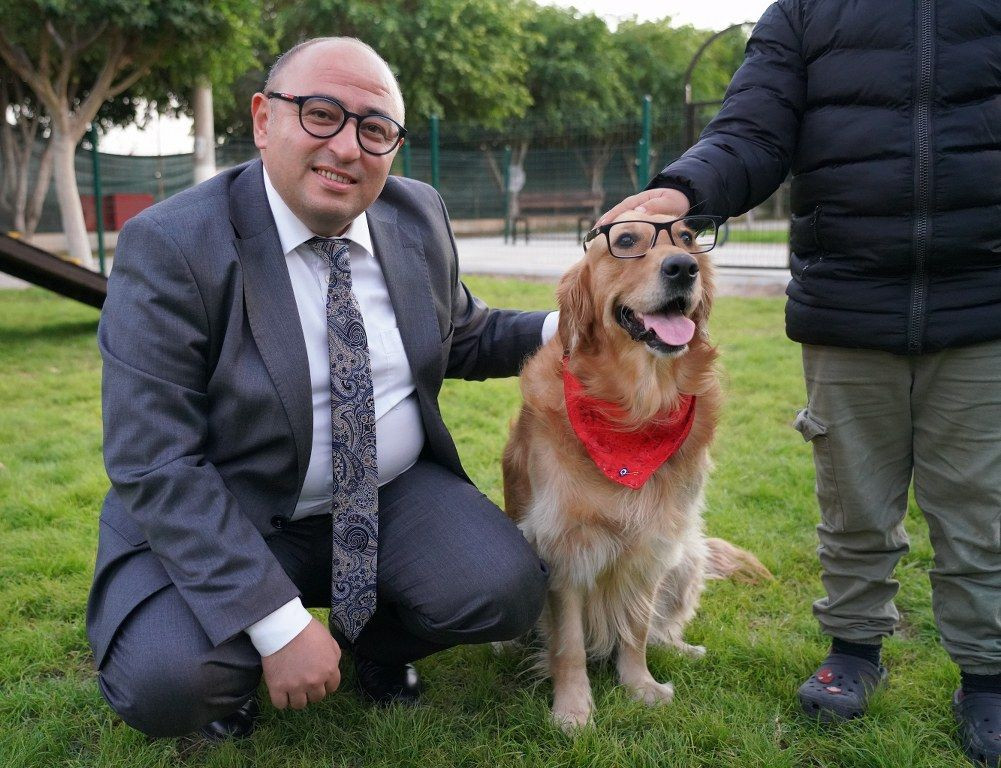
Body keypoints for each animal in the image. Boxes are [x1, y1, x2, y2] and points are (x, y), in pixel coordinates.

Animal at [504, 213, 768, 728]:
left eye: (687, 238)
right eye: (626, 240)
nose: (684, 267)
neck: (634, 413)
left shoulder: (653, 542)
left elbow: (637, 628)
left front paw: (639, 685)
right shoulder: (565, 547)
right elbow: (568, 645)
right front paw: (573, 710)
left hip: (687, 558)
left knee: (662, 627)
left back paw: (681, 649)